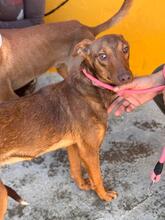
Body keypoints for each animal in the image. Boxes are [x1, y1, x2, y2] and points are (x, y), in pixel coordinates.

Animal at [0, 35, 132, 204]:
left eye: (125, 49)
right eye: (102, 56)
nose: (126, 77)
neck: (89, 87)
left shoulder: (73, 144)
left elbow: (75, 171)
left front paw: (84, 185)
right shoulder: (89, 151)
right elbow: (97, 177)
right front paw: (104, 195)